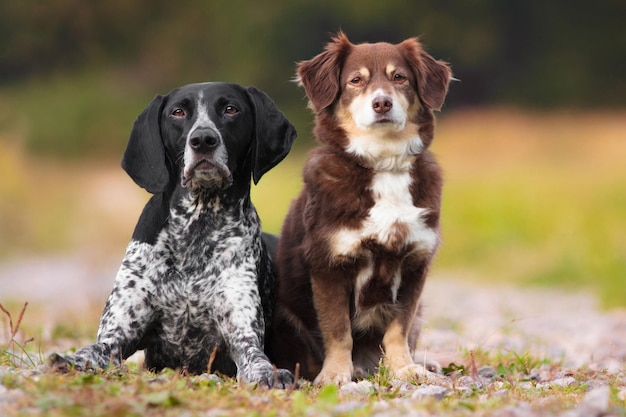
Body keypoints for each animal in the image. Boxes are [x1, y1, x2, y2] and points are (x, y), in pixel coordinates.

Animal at [47, 81, 296, 386]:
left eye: (231, 109)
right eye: (178, 112)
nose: (203, 139)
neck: (197, 225)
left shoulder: (242, 334)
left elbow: (256, 358)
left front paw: (270, 373)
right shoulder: (118, 332)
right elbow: (93, 350)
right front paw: (69, 360)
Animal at [268, 32, 448, 384]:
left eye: (399, 77)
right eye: (355, 80)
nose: (382, 103)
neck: (383, 163)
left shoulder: (414, 264)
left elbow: (398, 328)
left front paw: (405, 369)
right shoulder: (328, 265)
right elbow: (338, 330)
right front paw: (336, 373)